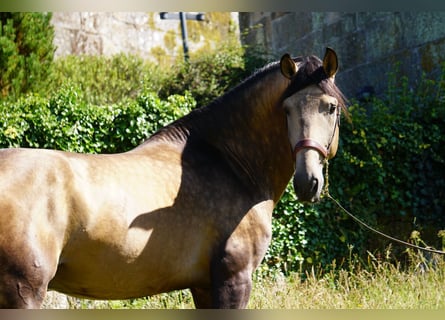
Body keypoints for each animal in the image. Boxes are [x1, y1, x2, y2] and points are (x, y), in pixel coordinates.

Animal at [0, 47, 346, 308]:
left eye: (331, 108)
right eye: (286, 110)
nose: (308, 182)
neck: (228, 162)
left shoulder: (204, 286)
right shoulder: (233, 280)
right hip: (24, 293)